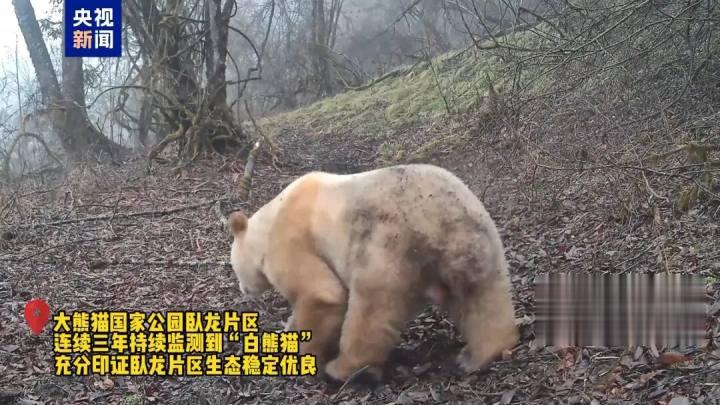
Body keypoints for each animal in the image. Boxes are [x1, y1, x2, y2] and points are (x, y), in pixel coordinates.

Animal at [228, 163, 518, 382]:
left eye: (233, 267)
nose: (243, 290)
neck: (272, 216)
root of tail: (438, 221)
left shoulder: (291, 240)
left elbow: (321, 294)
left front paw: (304, 355)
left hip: (384, 246)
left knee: (370, 310)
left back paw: (345, 369)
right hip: (477, 239)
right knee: (483, 299)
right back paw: (480, 354)